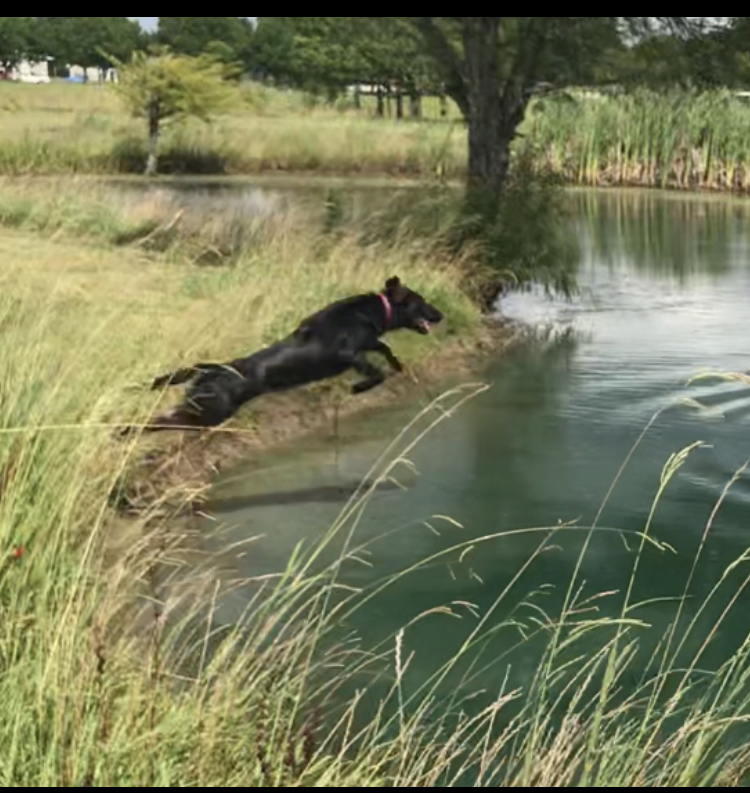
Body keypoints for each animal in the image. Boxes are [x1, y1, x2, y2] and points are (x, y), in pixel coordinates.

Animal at [122, 274, 440, 434]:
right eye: (422, 302)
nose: (442, 315)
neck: (368, 312)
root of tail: (213, 368)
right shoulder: (348, 353)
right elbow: (376, 372)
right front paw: (358, 388)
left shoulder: (369, 342)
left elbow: (385, 350)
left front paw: (398, 365)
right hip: (207, 414)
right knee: (160, 421)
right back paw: (125, 430)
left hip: (201, 411)